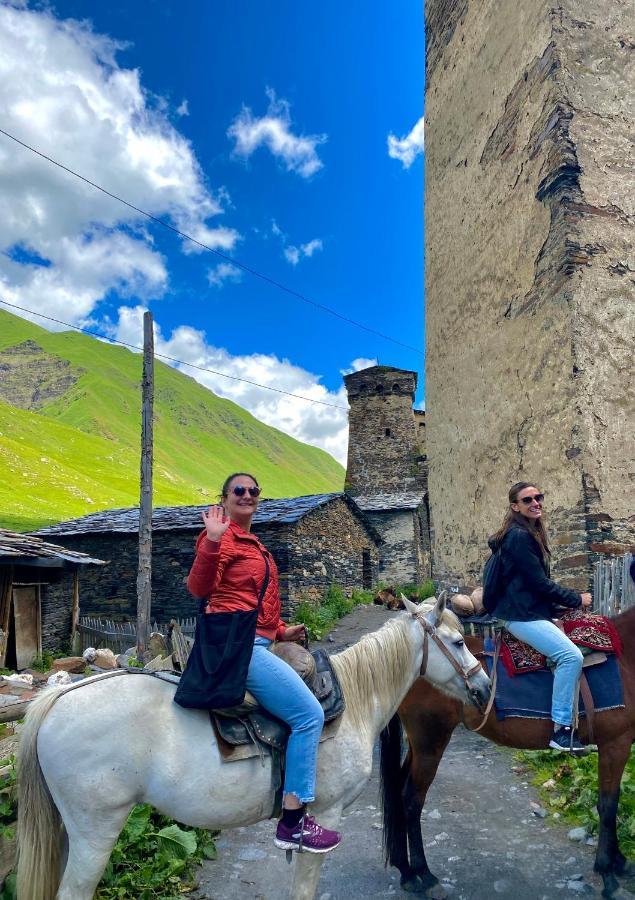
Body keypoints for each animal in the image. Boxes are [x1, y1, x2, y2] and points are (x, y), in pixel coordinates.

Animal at [17, 596, 490, 900]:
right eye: (459, 642)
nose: (485, 689)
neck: (355, 698)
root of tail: (55, 700)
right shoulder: (326, 814)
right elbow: (304, 889)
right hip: (96, 832)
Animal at [380, 608, 635, 896]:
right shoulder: (615, 744)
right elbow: (608, 806)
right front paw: (609, 876)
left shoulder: (616, 745)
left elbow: (610, 804)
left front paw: (620, 863)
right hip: (430, 743)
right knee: (412, 799)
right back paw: (425, 874)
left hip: (420, 746)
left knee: (398, 790)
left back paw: (406, 872)